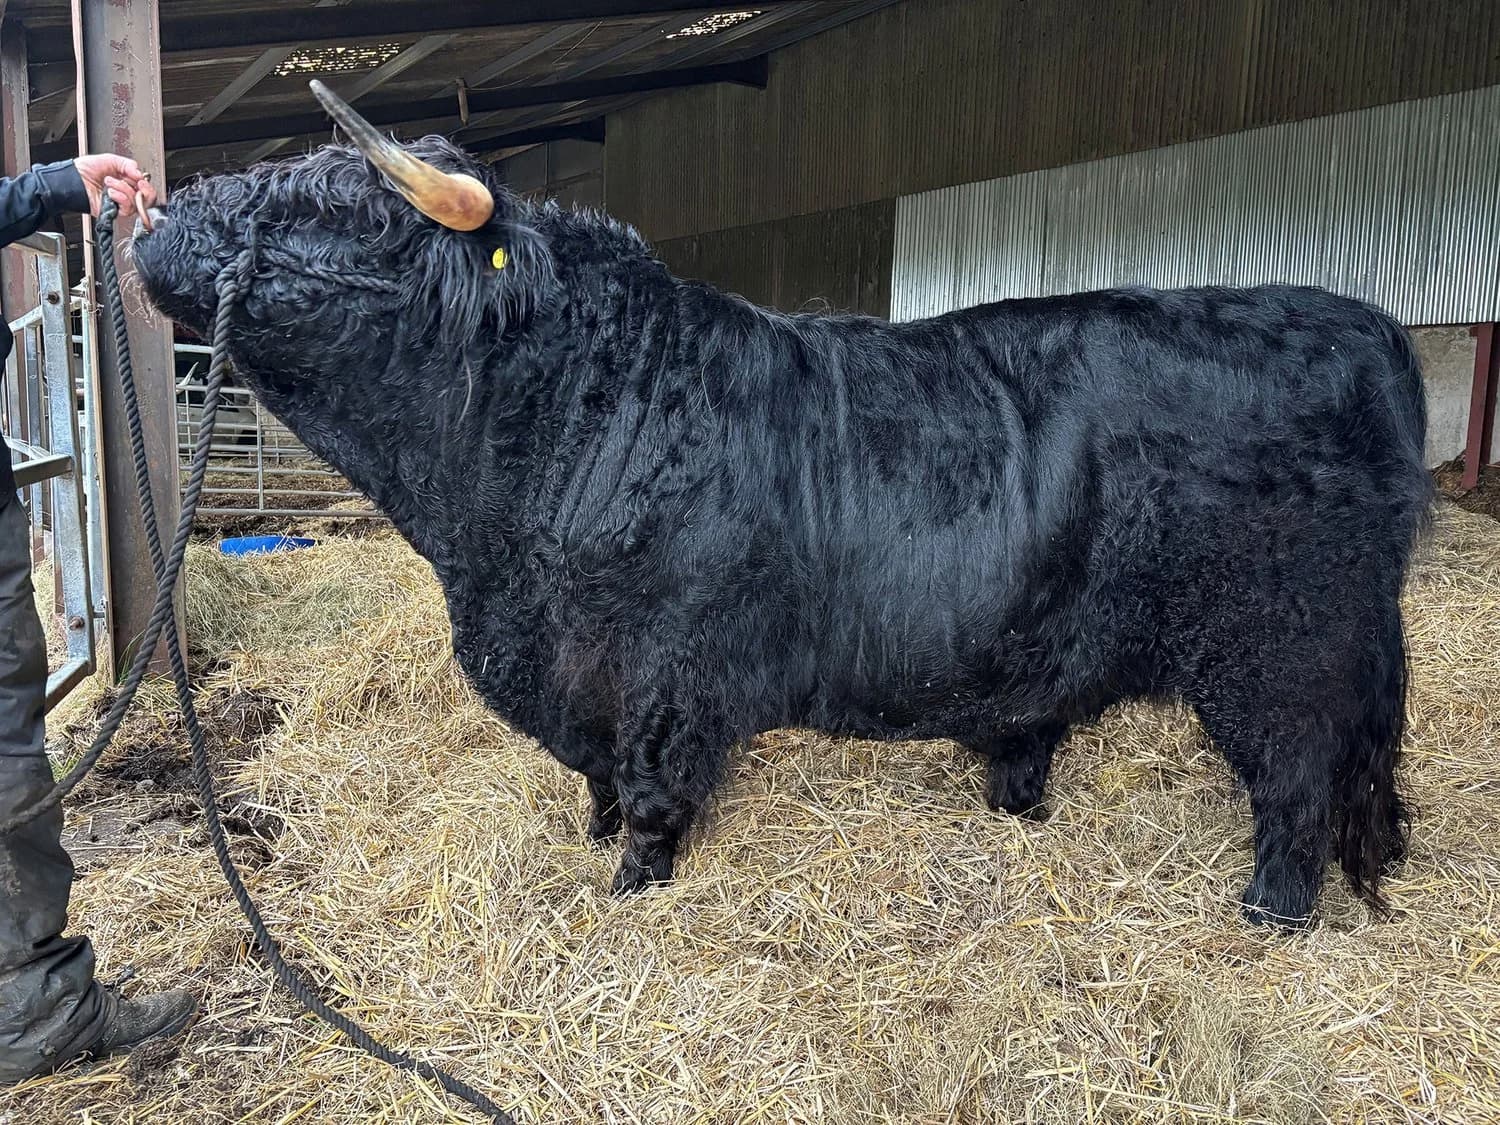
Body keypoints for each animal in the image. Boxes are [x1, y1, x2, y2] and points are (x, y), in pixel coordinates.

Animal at [132, 83, 1432, 928]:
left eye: (335, 212)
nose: (153, 220)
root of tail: (1357, 323)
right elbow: (599, 785)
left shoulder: (668, 668)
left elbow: (651, 800)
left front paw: (631, 894)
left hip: (1284, 652)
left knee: (1297, 788)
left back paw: (1268, 914)